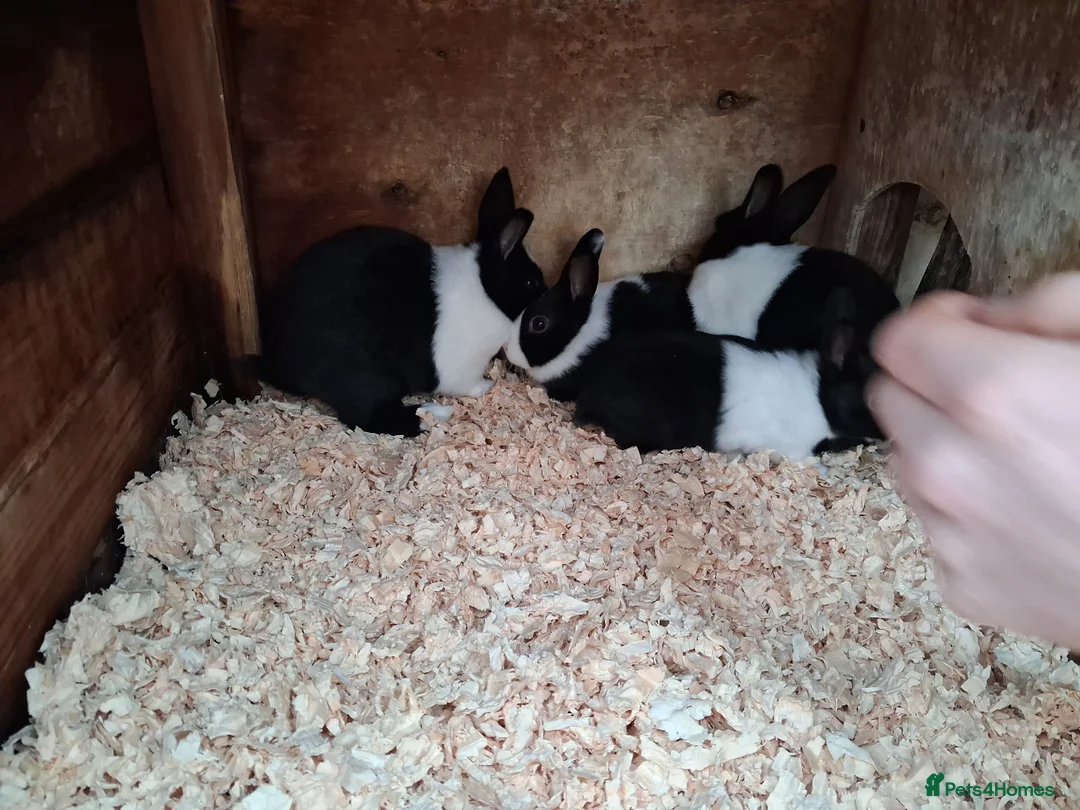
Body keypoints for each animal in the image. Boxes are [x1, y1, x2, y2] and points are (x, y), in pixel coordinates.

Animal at [256, 168, 547, 437]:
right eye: (531, 283)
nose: (546, 294)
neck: (485, 288)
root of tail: (280, 365)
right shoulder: (461, 368)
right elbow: (465, 384)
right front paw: (485, 387)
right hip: (367, 378)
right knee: (369, 417)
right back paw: (434, 415)